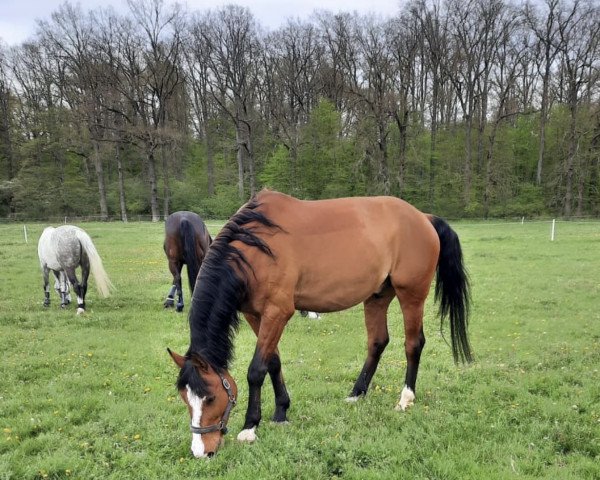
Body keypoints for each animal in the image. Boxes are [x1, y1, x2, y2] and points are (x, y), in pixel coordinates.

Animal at [166, 190, 472, 458]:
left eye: (210, 398)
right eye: (185, 398)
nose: (200, 452)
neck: (256, 248)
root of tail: (423, 217)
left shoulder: (277, 313)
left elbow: (256, 370)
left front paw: (250, 426)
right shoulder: (256, 315)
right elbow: (273, 362)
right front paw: (281, 412)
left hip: (411, 293)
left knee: (413, 343)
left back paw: (405, 399)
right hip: (378, 296)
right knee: (377, 341)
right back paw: (357, 393)